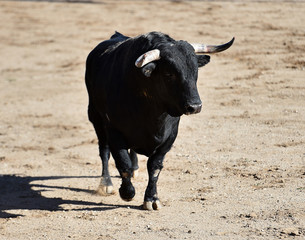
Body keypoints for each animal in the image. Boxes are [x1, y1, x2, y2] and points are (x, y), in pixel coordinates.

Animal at [83, 31, 233, 210]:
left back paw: (135, 169)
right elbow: (122, 163)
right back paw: (106, 184)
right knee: (104, 151)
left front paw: (152, 198)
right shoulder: (114, 131)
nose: (195, 106)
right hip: (95, 117)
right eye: (169, 74)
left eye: (195, 70)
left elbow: (154, 167)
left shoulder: (170, 136)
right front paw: (127, 193)